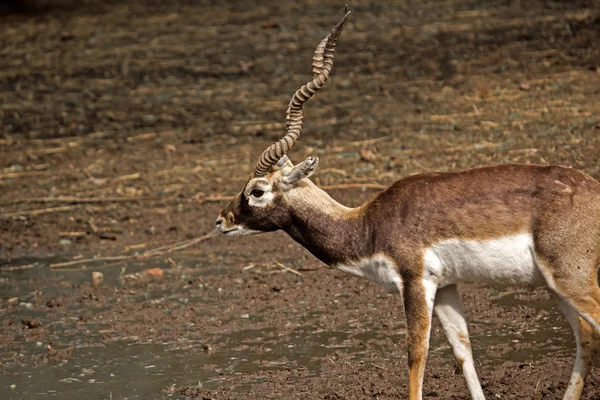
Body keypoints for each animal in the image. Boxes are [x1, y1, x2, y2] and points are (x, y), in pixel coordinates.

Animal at [216, 7, 600, 400]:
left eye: (257, 190)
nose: (222, 220)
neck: (367, 225)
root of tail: (593, 189)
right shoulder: (445, 287)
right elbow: (462, 349)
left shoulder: (415, 281)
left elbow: (417, 353)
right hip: (555, 286)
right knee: (585, 335)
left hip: (571, 278)